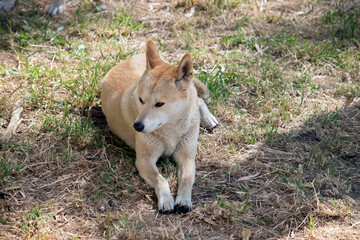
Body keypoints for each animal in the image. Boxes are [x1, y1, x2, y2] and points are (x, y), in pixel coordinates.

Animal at [100, 40, 217, 213]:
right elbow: (161, 180)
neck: (171, 129)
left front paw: (183, 200)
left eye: (160, 104)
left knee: (198, 99)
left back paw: (207, 117)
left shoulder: (187, 156)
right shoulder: (145, 160)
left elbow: (187, 178)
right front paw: (166, 199)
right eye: (141, 100)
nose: (137, 126)